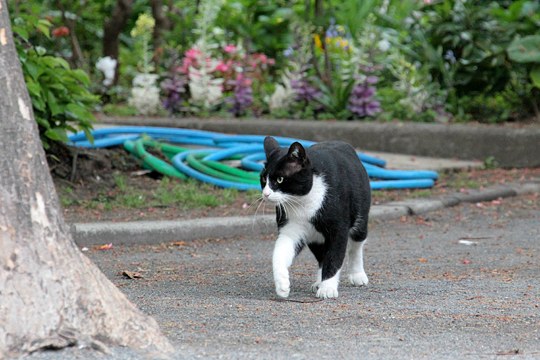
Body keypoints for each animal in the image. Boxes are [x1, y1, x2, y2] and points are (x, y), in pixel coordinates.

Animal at [262, 136, 372, 300]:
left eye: (280, 179)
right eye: (263, 179)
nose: (266, 193)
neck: (303, 202)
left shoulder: (338, 230)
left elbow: (334, 257)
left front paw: (328, 288)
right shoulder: (290, 227)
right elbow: (280, 252)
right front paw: (282, 284)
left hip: (361, 213)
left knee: (357, 244)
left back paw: (357, 275)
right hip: (314, 237)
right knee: (321, 255)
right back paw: (319, 281)